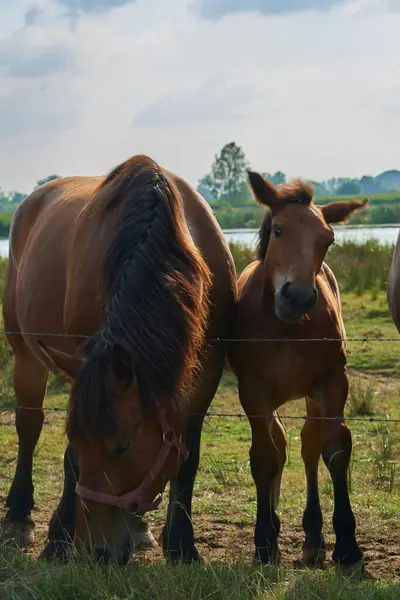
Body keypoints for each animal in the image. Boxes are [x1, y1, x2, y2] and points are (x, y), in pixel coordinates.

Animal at [0, 154, 236, 564]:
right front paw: (58, 538)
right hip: (25, 355)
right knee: (29, 425)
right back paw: (18, 516)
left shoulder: (205, 375)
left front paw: (182, 544)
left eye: (123, 446)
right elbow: (69, 459)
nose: (98, 551)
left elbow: (188, 455)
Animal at [228, 172, 368, 572]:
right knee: (280, 444)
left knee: (308, 445)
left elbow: (334, 448)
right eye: (278, 230)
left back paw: (313, 539)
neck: (286, 328)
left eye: (328, 240)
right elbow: (264, 456)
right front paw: (263, 542)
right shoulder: (253, 390)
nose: (299, 297)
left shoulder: (333, 382)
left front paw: (348, 547)